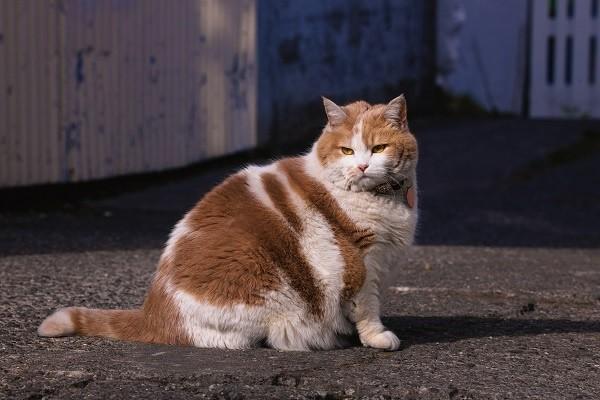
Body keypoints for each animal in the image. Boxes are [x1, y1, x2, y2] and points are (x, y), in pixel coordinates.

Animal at [39, 95, 420, 352]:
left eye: (379, 148)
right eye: (346, 151)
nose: (362, 166)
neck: (382, 199)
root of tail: (152, 311)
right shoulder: (362, 261)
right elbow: (366, 306)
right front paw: (376, 336)